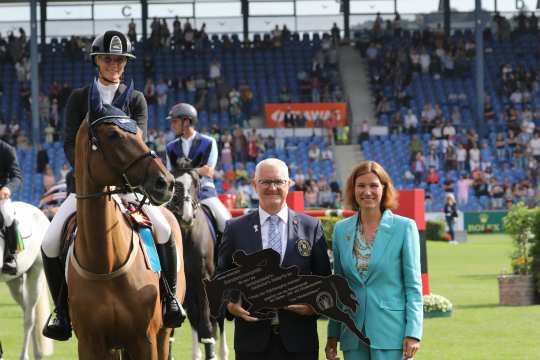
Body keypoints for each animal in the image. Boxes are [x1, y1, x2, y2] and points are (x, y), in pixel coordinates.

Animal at [166, 163, 227, 360]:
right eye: (174, 184)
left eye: (197, 184)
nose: (186, 217)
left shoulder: (203, 280)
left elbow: (207, 324)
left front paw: (211, 353)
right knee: (194, 316)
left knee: (218, 317)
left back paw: (222, 352)